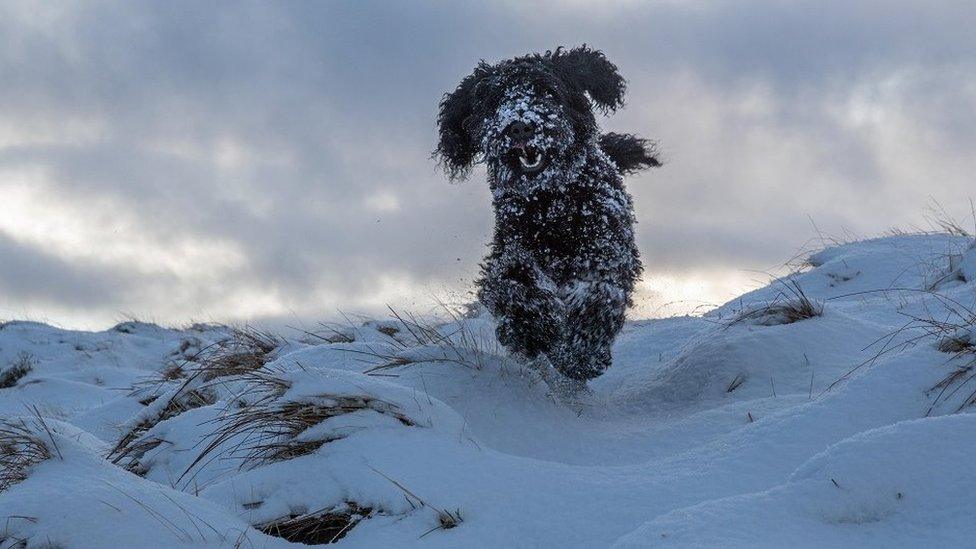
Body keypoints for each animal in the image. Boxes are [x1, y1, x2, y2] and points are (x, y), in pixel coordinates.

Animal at [436, 46, 660, 382]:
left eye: (546, 90)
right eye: (494, 100)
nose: (519, 125)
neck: (550, 205)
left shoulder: (608, 253)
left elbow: (599, 294)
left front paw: (581, 353)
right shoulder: (508, 249)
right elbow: (510, 277)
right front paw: (531, 329)